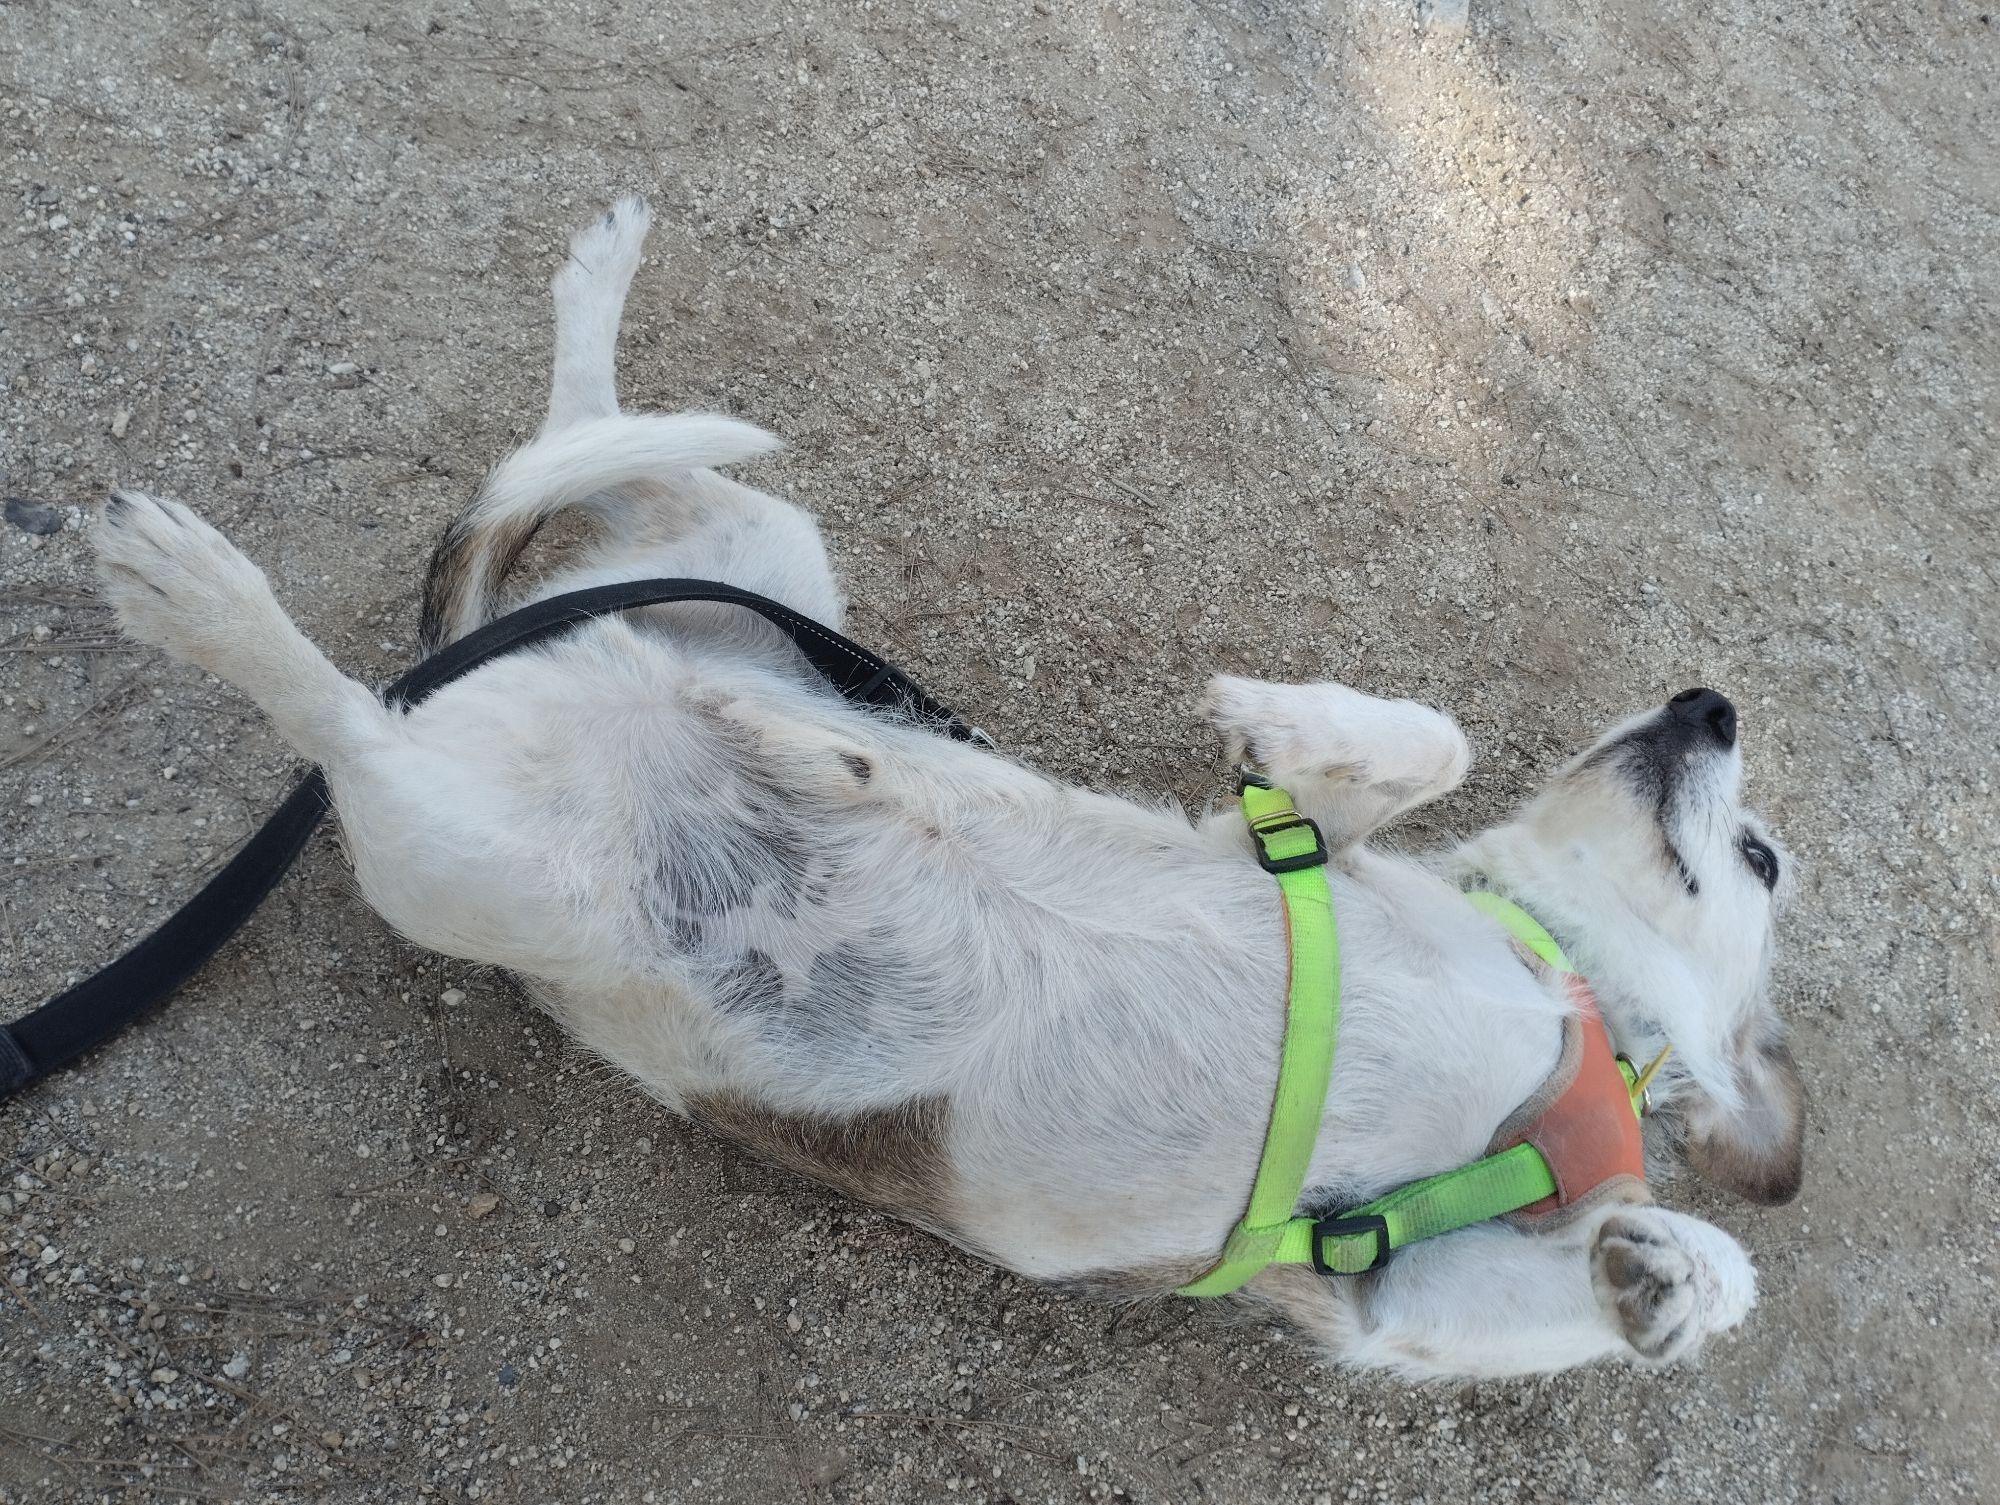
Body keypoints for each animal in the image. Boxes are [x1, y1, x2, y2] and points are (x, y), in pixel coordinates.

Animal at [90, 197, 1800, 1376]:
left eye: (1762, 857)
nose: (1709, 701)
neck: (1566, 993)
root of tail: (485, 658)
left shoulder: (1381, 1292)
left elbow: (1570, 1287)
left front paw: (1671, 1279)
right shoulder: (1294, 848)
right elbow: (1415, 744)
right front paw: (1277, 717)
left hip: (485, 841)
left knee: (357, 715)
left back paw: (219, 594)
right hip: (713, 601)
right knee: (471, 557)